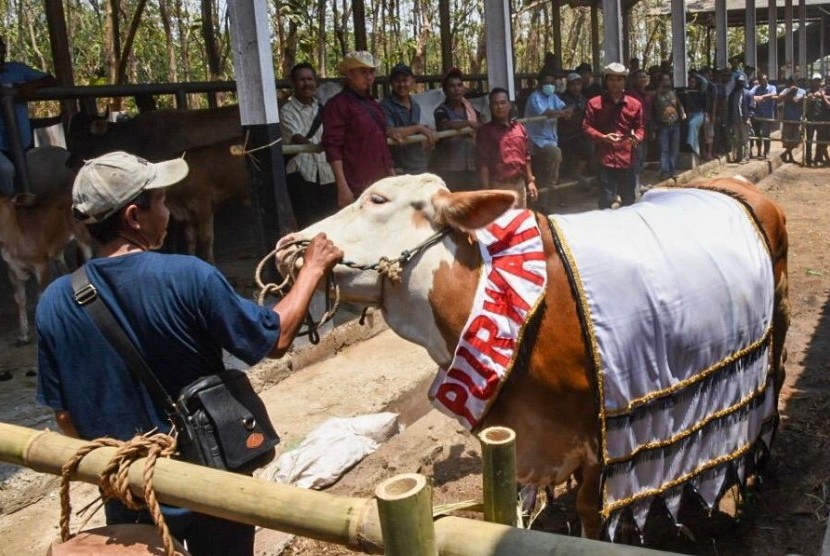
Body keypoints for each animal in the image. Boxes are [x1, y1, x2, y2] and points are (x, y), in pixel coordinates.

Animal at [282, 174, 792, 540]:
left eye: (378, 199)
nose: (289, 244)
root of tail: (734, 186)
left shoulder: (599, 436)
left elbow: (590, 513)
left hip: (777, 329)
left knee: (775, 386)